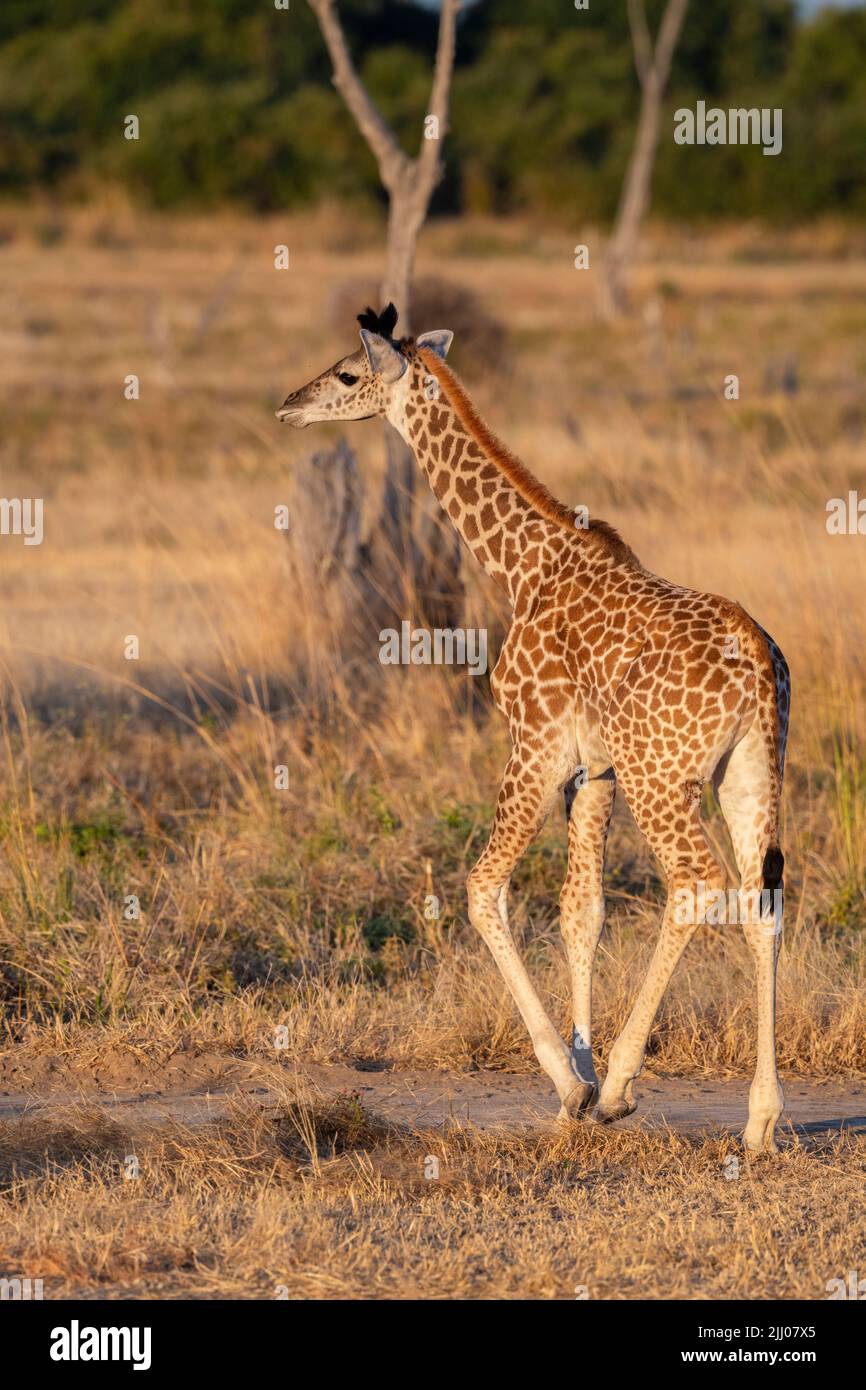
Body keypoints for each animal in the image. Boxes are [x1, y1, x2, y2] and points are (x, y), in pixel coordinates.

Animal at [278, 304, 795, 1150]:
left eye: (348, 373)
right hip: (748, 773)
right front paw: (571, 1092)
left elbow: (483, 888)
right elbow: (581, 912)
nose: (289, 405)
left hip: (664, 776)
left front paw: (575, 1081)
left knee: (695, 883)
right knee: (761, 905)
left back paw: (622, 1084)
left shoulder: (537, 746)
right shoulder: (595, 769)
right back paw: (759, 1121)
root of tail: (756, 661)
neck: (521, 565)